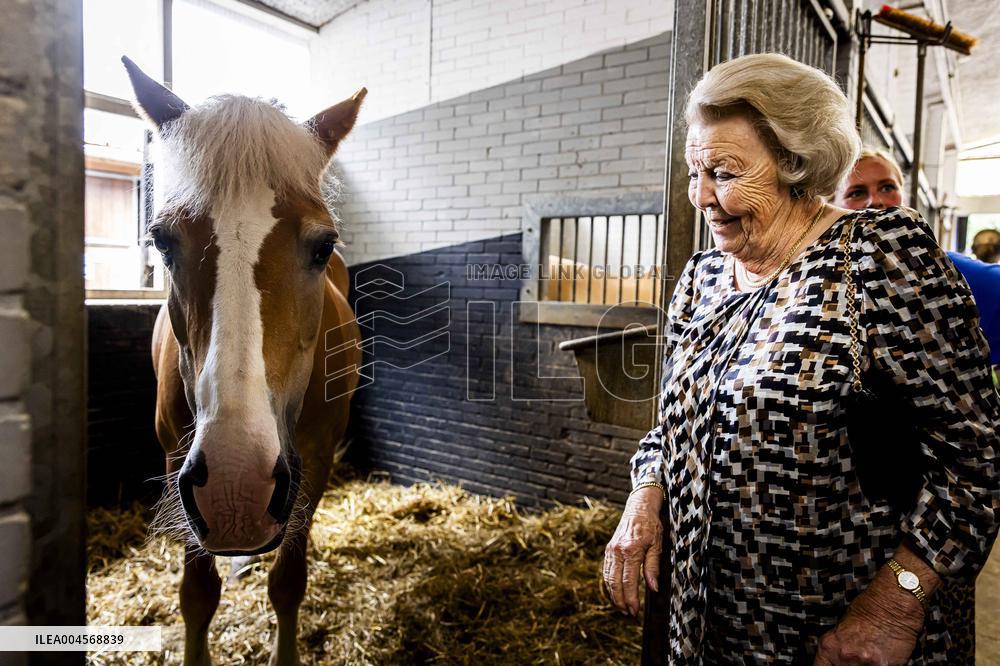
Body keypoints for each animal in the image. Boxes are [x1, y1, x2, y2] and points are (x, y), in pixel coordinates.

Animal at [122, 57, 364, 666]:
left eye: (323, 246)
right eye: (162, 242)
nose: (237, 489)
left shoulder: (315, 459)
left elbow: (289, 583)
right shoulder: (176, 458)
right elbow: (197, 594)